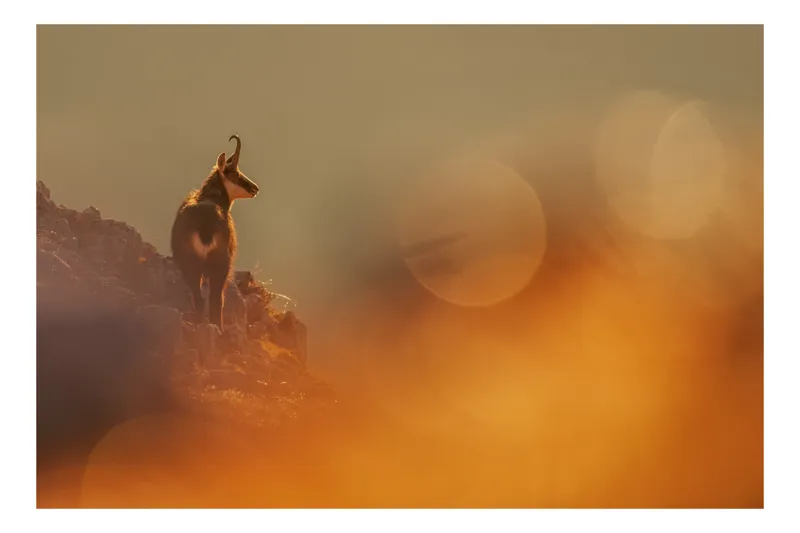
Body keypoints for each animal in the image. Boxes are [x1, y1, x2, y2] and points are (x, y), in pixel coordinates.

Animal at [171, 135, 259, 330]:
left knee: (199, 297)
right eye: (236, 174)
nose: (255, 188)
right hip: (220, 264)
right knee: (216, 298)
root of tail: (206, 226)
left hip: (190, 264)